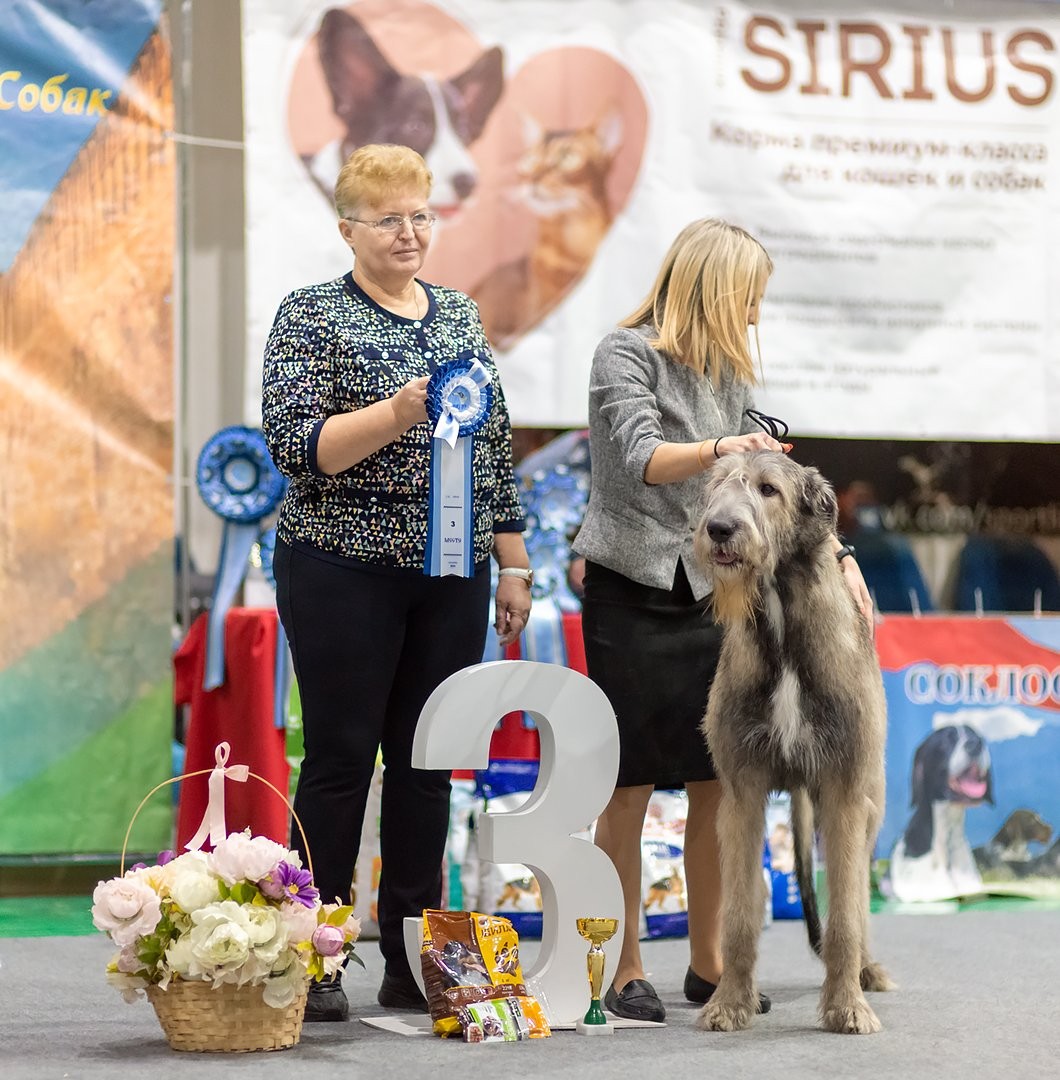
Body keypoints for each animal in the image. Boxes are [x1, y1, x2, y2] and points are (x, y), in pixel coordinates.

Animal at [691, 451, 890, 1032]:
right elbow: (738, 914)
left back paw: (866, 971)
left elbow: (844, 917)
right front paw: (730, 1002)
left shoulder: (844, 792)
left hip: (867, 801)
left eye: (768, 489)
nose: (719, 528)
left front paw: (847, 1006)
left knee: (858, 895)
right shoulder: (741, 793)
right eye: (716, 487)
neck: (781, 617)